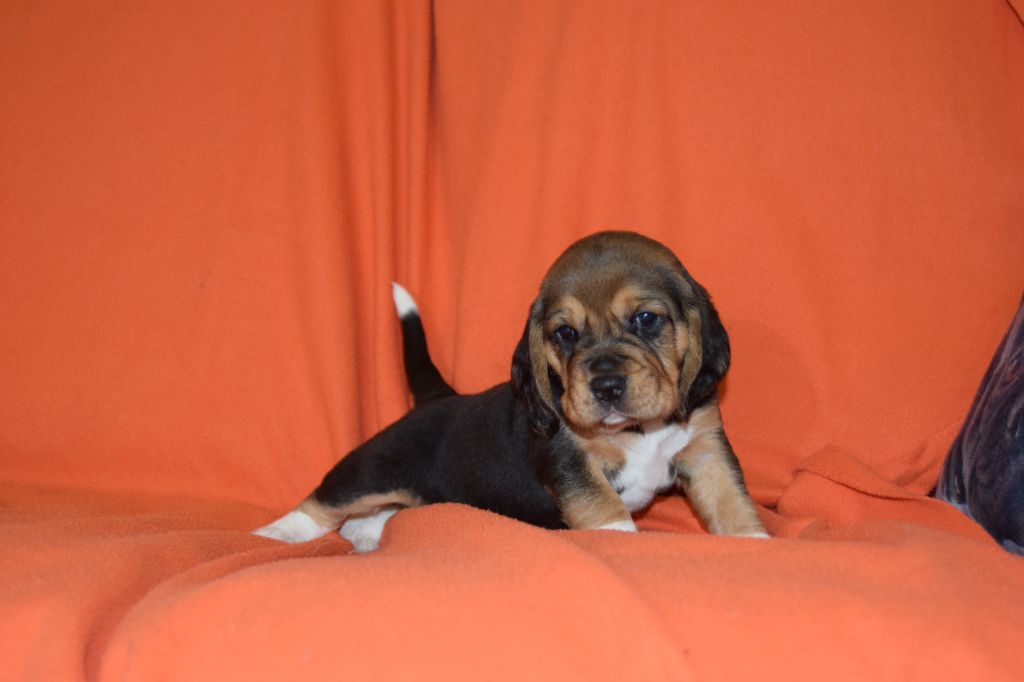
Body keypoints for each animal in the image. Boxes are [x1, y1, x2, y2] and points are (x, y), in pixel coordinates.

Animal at [254, 231, 767, 551]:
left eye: (646, 319)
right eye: (565, 333)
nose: (605, 386)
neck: (639, 430)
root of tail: (441, 399)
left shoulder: (707, 450)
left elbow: (733, 504)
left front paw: (757, 545)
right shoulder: (570, 460)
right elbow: (605, 510)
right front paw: (619, 540)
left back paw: (367, 535)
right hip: (373, 467)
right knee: (325, 502)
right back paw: (275, 536)